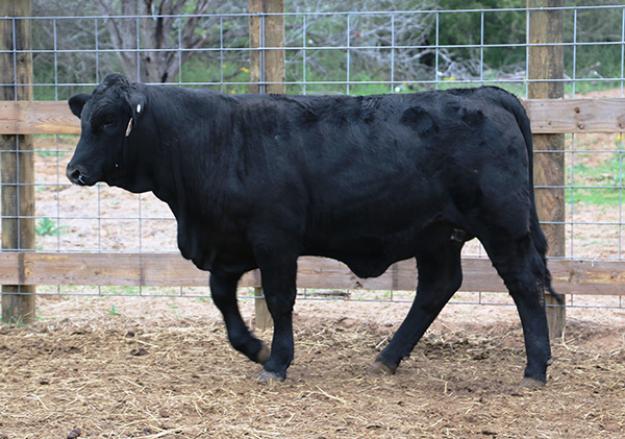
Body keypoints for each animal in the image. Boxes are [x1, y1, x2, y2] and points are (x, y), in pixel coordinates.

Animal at [67, 73, 562, 386]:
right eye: (84, 118)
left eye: (108, 121)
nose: (74, 170)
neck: (216, 140)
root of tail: (485, 94)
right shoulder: (227, 244)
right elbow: (223, 300)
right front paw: (254, 347)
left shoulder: (275, 241)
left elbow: (280, 299)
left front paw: (277, 361)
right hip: (438, 234)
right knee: (437, 287)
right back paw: (386, 359)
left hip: (503, 226)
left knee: (525, 285)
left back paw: (535, 369)